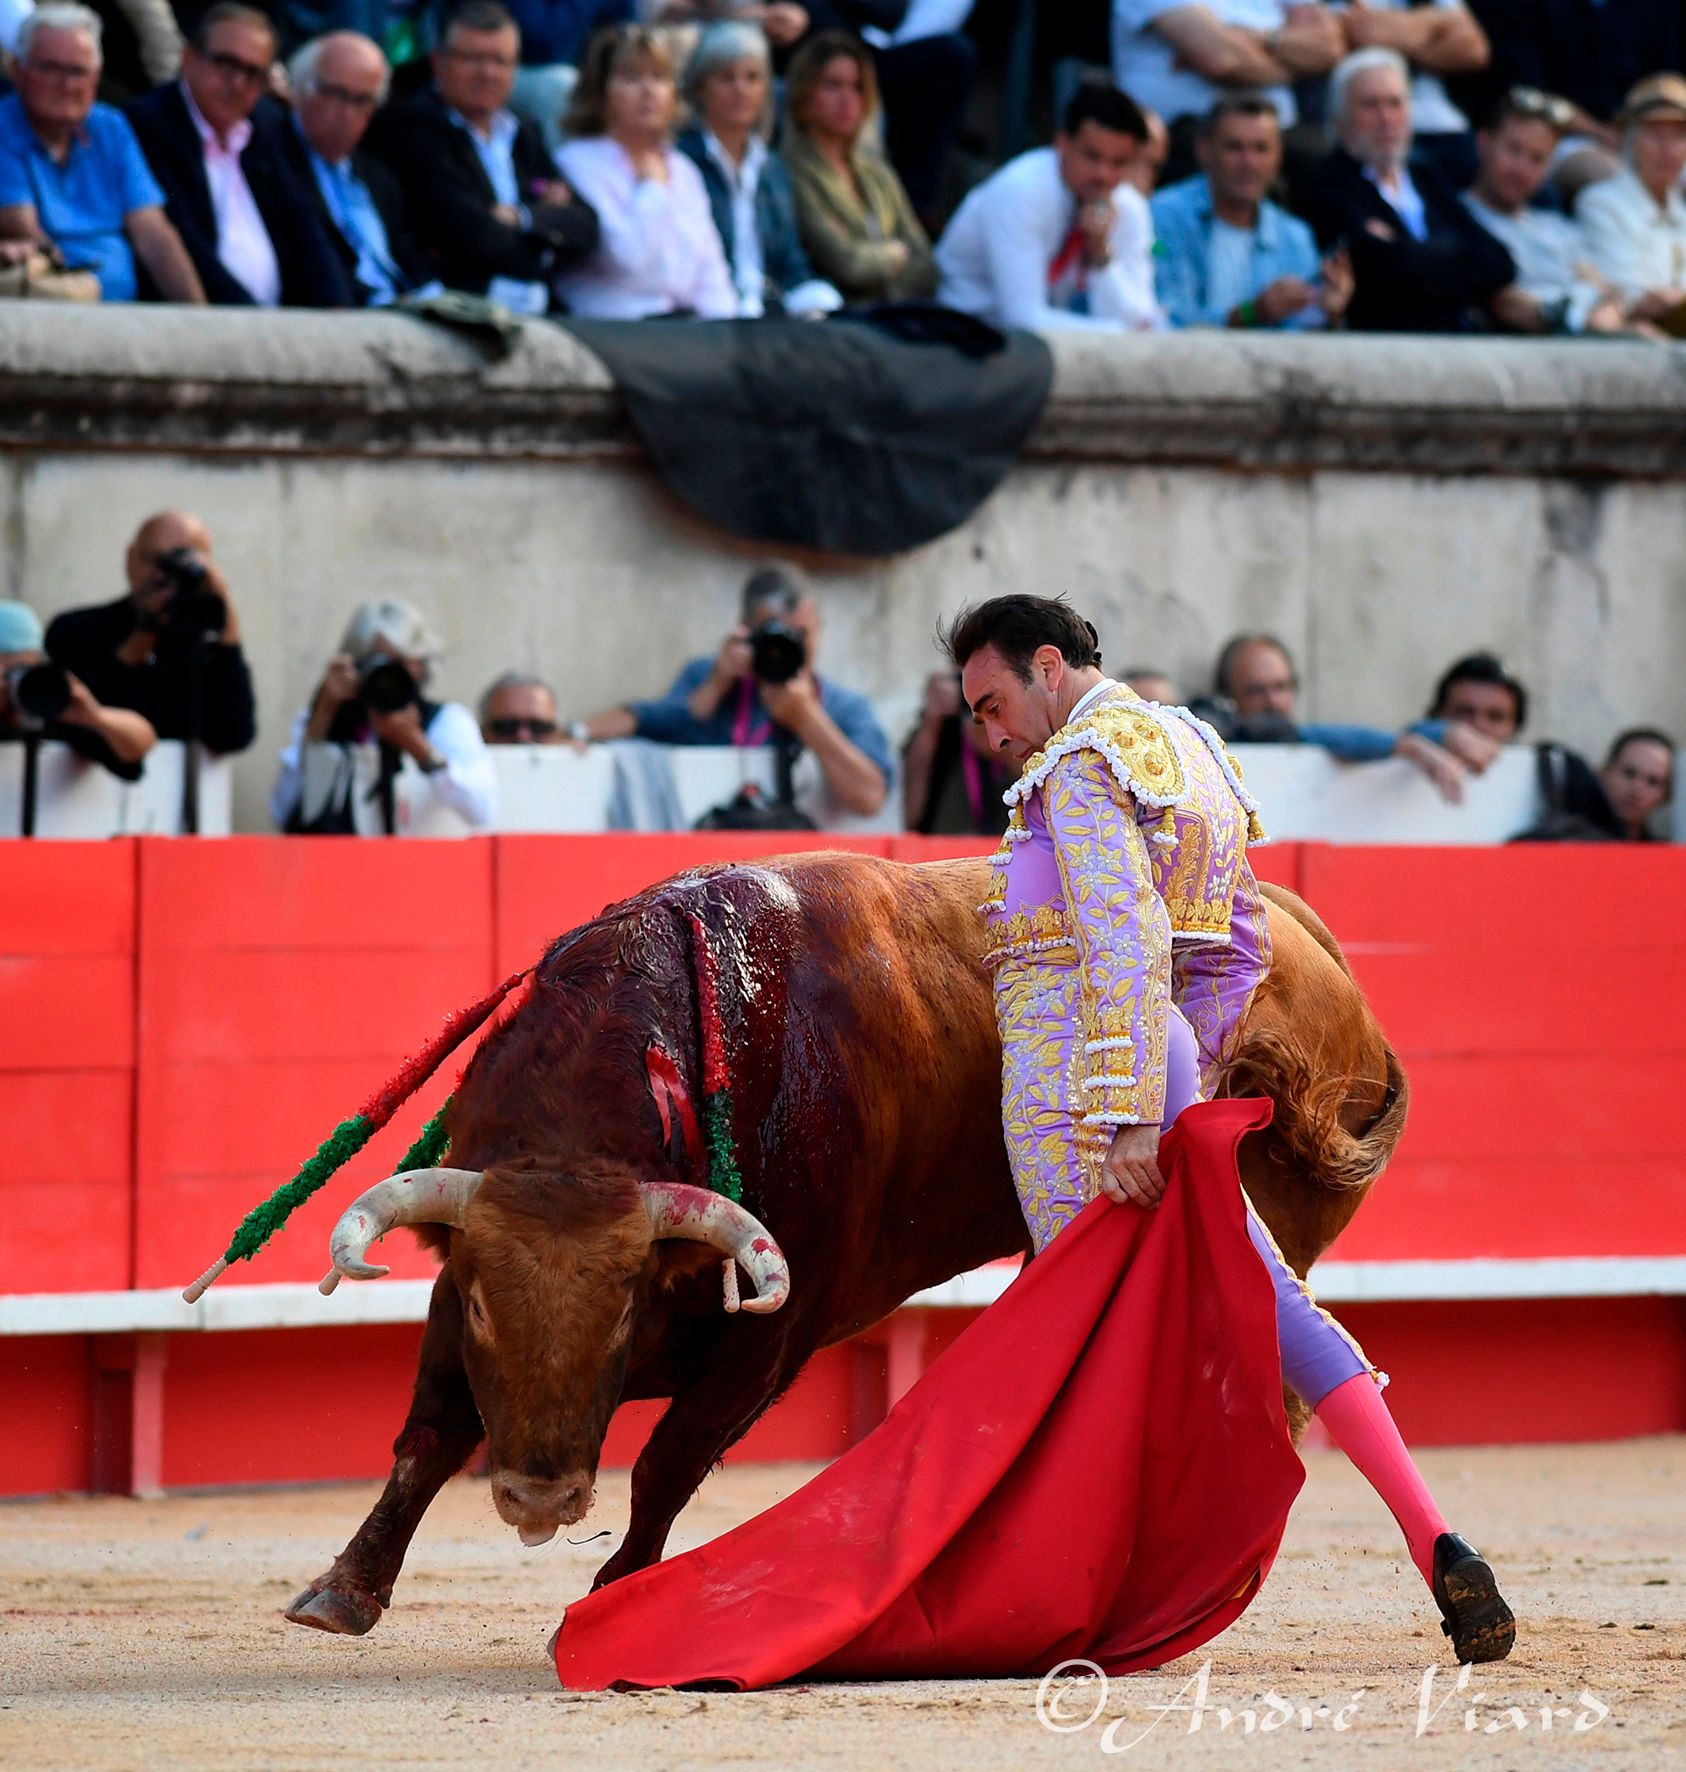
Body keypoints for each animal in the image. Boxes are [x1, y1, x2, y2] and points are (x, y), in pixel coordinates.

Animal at [283, 850, 1404, 1637]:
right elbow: (431, 1433)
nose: (538, 1495)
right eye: (483, 1302)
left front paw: (614, 1597)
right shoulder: (459, 1278)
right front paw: (342, 1588)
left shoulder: (776, 1337)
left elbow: (666, 1466)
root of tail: (1304, 937)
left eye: (625, 1309)